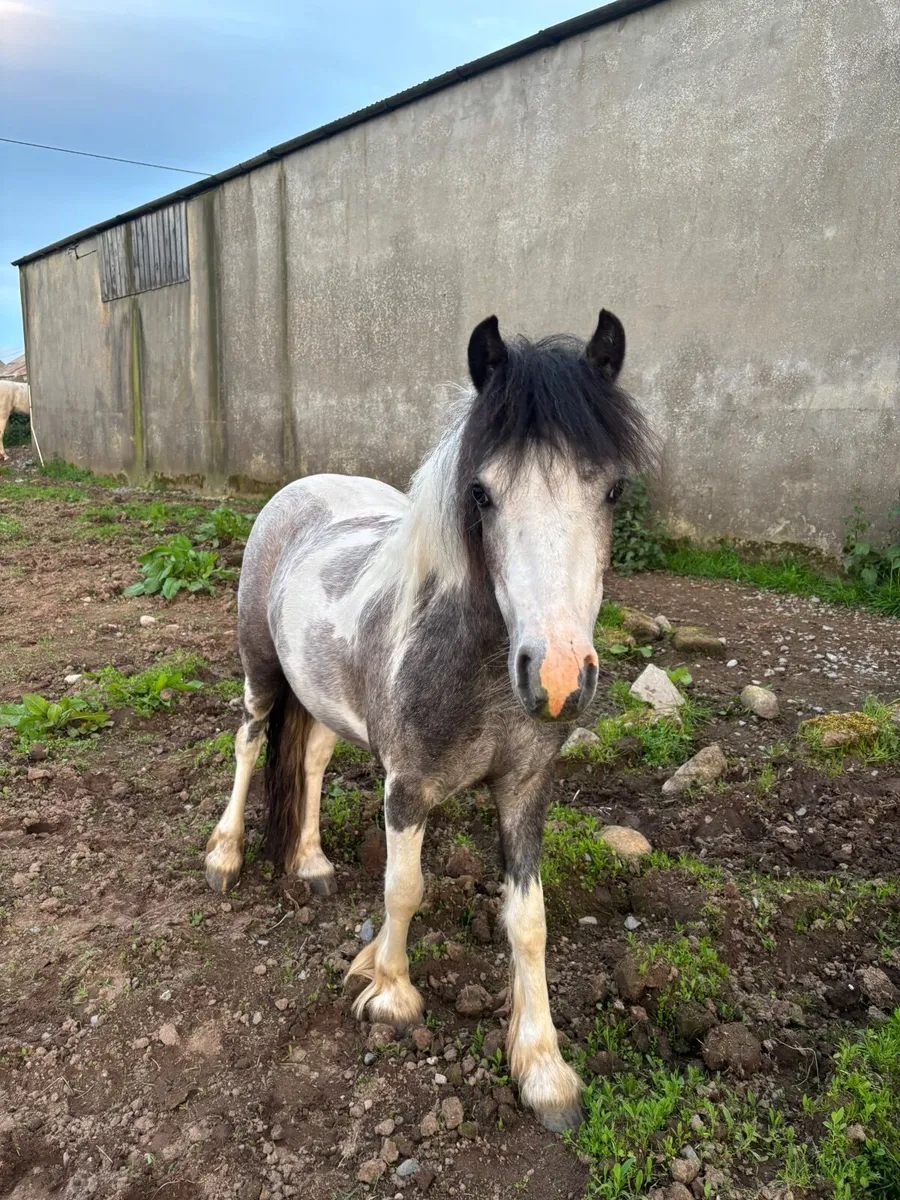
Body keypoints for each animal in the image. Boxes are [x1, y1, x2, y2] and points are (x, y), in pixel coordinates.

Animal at [204, 307, 655, 1131]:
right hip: (261, 669)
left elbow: (529, 921)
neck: (478, 668)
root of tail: (301, 489)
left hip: (322, 696)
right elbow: (404, 888)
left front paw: (543, 1067)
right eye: (481, 493)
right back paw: (223, 857)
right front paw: (390, 994)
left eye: (611, 490)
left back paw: (310, 863)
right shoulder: (407, 789)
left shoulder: (525, 791)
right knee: (249, 743)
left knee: (308, 760)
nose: (557, 678)